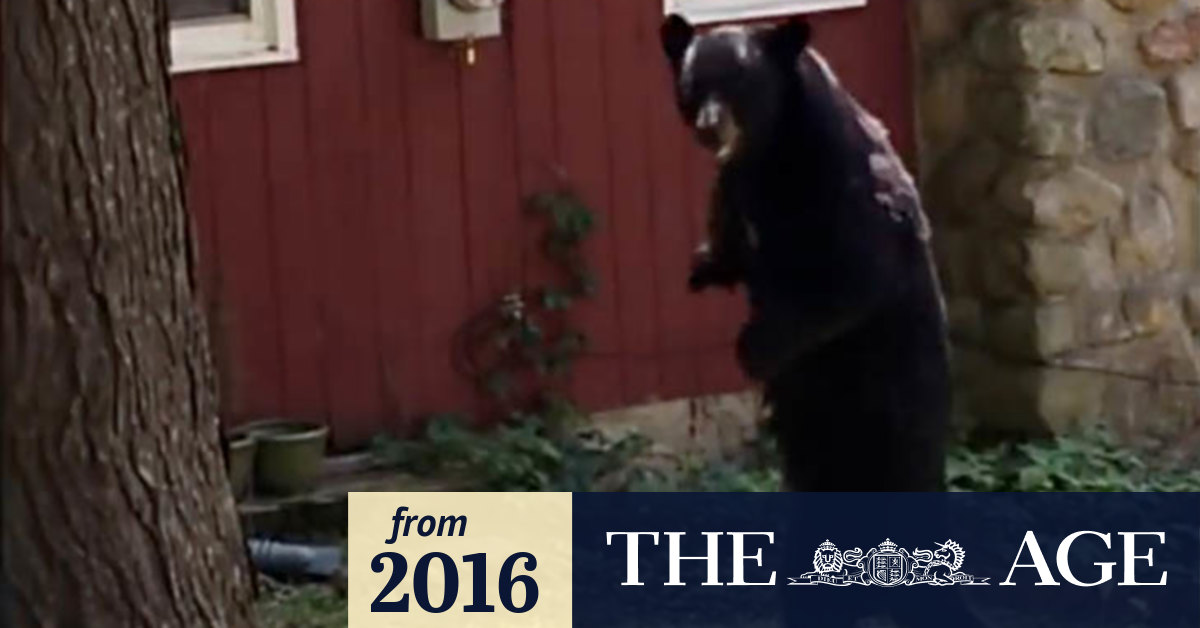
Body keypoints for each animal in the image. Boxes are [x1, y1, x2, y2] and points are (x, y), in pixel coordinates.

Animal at [661, 15, 951, 492]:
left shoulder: (841, 180)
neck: (773, 148)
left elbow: (853, 272)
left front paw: (754, 345)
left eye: (740, 80)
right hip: (804, 416)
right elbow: (731, 231)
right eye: (693, 84)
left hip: (897, 380)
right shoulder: (738, 184)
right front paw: (704, 265)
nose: (708, 126)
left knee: (905, 458)